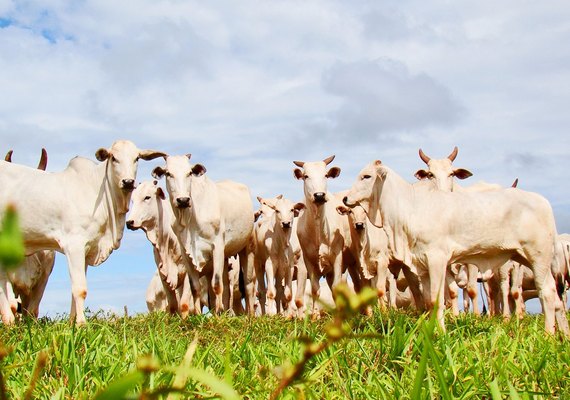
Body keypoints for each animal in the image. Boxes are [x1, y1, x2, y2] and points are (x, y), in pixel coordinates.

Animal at [0, 139, 165, 324]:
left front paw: (73, 323)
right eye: (113, 158)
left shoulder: (86, 250)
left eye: (137, 158)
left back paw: (8, 322)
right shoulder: (74, 246)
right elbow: (80, 288)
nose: (128, 182)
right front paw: (82, 323)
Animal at [153, 155, 255, 314]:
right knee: (226, 286)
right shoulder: (186, 253)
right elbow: (195, 287)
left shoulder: (217, 247)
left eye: (189, 173)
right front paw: (198, 314)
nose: (183, 200)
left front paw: (218, 313)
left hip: (247, 248)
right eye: (168, 173)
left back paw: (248, 315)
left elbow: (216, 283)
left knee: (248, 285)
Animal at [342, 159, 568, 334]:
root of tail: (543, 202)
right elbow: (429, 301)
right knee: (556, 298)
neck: (411, 208)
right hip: (526, 258)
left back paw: (548, 334)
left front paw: (440, 333)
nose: (345, 198)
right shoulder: (422, 265)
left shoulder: (437, 259)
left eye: (366, 176)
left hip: (538, 257)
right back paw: (562, 335)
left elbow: (437, 299)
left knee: (547, 292)